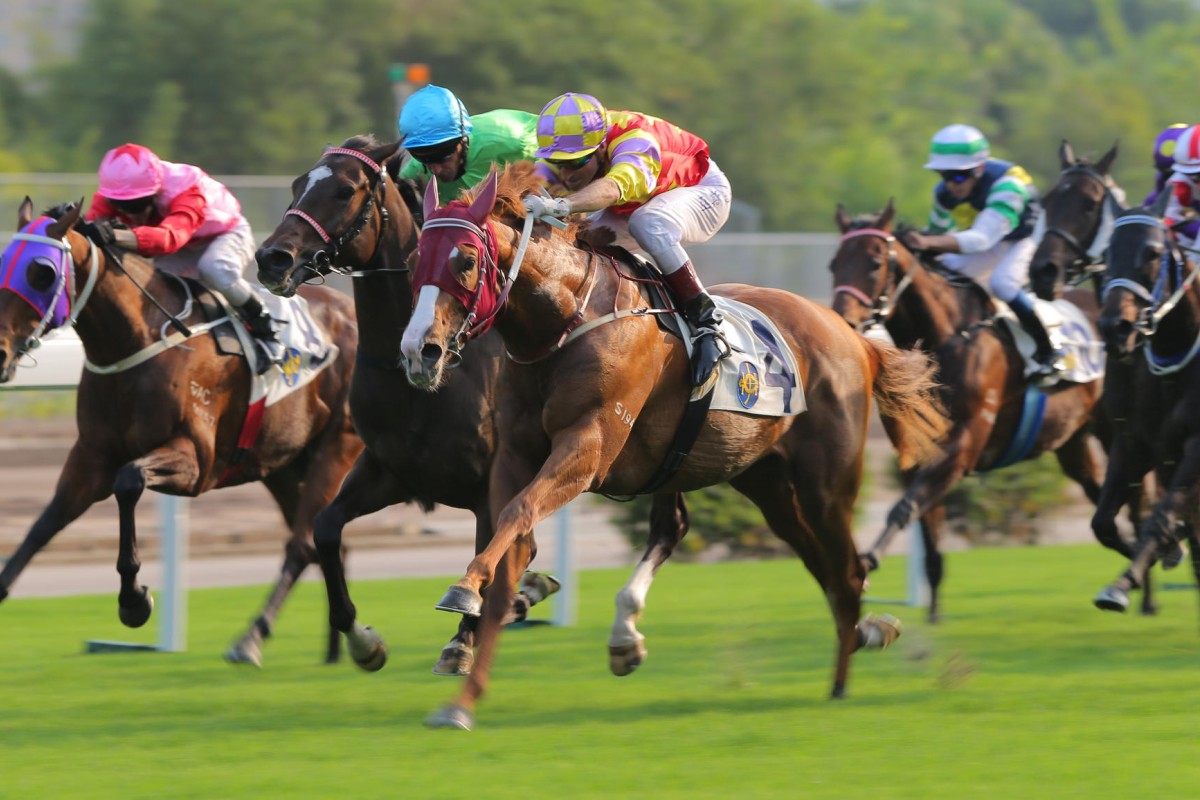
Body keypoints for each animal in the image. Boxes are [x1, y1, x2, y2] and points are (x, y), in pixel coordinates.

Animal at [1, 199, 364, 662]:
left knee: (302, 543)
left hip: (337, 444)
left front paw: (134, 600)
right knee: (323, 539)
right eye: (1, 263)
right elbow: (44, 524)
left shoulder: (196, 461)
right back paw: (339, 647)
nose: (0, 354)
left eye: (42, 273)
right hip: (283, 463)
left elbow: (129, 480)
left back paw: (254, 637)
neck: (135, 340)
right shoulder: (90, 457)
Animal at [391, 164, 945, 734]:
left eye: (465, 259)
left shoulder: (588, 446)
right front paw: (463, 698)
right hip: (767, 483)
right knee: (820, 566)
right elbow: (508, 552)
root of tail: (854, 338)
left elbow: (518, 514)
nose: (418, 352)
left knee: (847, 570)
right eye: (413, 261)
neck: (566, 321)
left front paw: (464, 587)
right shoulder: (515, 457)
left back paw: (840, 681)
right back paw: (859, 636)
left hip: (826, 484)